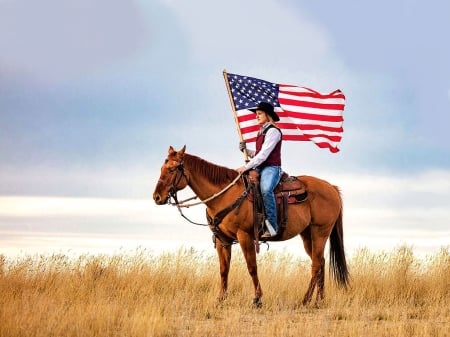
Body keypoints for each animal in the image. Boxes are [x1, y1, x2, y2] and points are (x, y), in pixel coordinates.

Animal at [153, 146, 350, 306]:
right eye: (161, 168)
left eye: (172, 169)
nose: (156, 197)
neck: (225, 195)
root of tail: (331, 188)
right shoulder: (222, 240)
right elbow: (224, 269)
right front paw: (221, 299)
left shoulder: (245, 236)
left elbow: (251, 267)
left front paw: (257, 298)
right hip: (307, 235)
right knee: (321, 262)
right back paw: (319, 300)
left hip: (320, 232)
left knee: (316, 264)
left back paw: (305, 300)